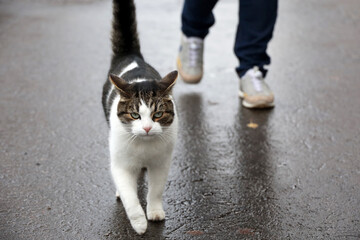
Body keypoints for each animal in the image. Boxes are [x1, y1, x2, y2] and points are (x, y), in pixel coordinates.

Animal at [102, 0, 178, 234]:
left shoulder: (161, 163)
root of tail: (131, 56)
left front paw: (154, 212)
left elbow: (156, 190)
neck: (144, 146)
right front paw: (139, 224)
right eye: (135, 115)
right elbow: (130, 198)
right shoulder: (121, 165)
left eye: (158, 114)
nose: (146, 128)